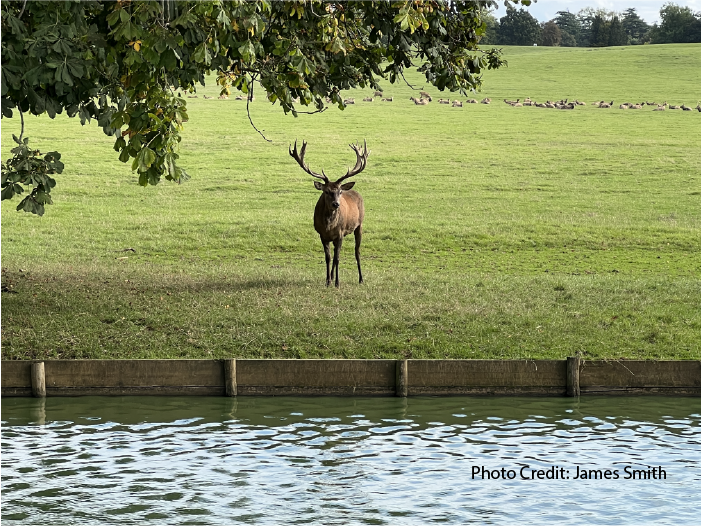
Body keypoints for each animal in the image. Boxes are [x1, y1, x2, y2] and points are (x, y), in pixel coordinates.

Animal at [288, 140, 370, 288]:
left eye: (340, 191)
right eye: (326, 191)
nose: (336, 204)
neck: (329, 226)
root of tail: (356, 192)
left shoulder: (340, 233)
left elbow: (337, 258)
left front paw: (337, 283)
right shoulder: (322, 235)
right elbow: (328, 257)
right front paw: (327, 281)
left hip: (359, 224)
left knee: (357, 251)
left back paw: (361, 279)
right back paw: (331, 277)